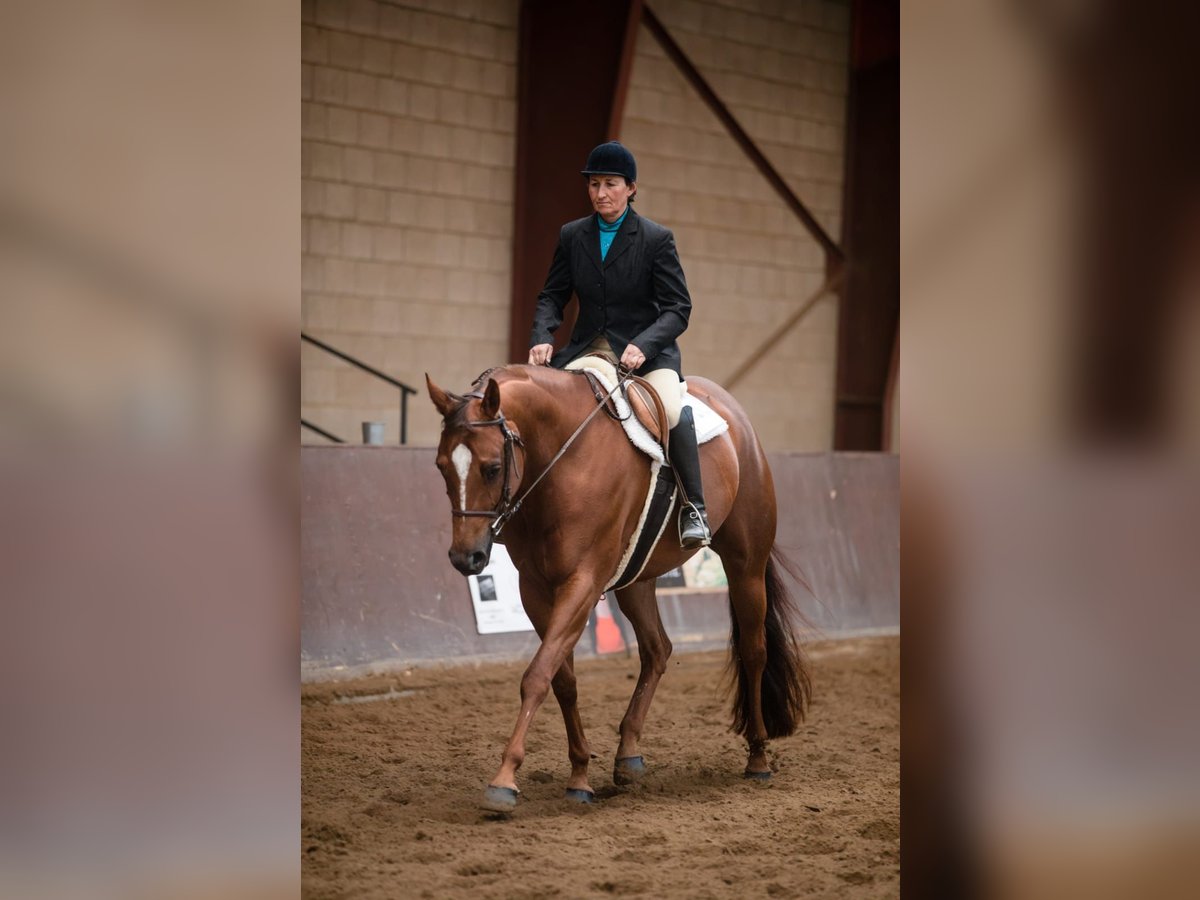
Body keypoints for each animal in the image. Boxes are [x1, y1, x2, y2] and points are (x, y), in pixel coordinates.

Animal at [427, 362, 811, 816]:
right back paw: (628, 755)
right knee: (657, 649)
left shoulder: (583, 581)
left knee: (753, 652)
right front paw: (579, 775)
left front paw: (504, 779)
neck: (561, 457)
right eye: (441, 467)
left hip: (745, 566)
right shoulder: (535, 589)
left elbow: (537, 675)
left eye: (491, 468)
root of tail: (734, 412)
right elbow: (561, 679)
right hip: (637, 578)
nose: (464, 558)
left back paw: (758, 757)